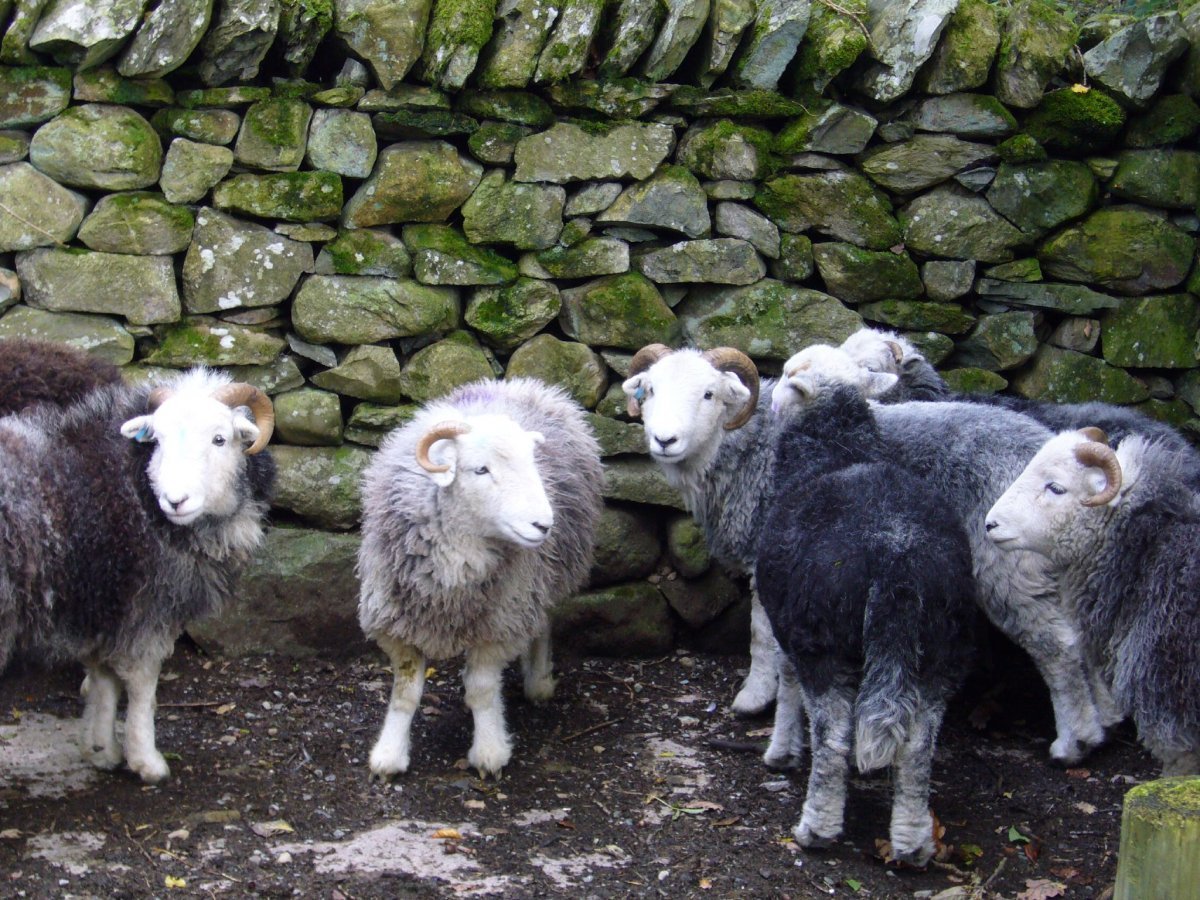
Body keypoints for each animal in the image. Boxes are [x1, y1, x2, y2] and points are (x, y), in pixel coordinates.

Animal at [0, 366, 275, 783]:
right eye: (156, 440)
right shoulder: (148, 609)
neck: (135, 488)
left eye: (220, 438)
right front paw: (147, 760)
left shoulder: (105, 607)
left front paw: (101, 749)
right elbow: (143, 685)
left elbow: (103, 680)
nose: (175, 501)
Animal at [357, 377, 603, 779]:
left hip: (542, 579)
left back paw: (538, 682)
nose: (544, 525)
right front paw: (389, 755)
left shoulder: (499, 623)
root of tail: (518, 383)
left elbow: (482, 690)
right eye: (481, 470)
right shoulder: (397, 622)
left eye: (532, 465)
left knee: (543, 622)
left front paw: (489, 753)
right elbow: (406, 693)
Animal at [757, 367, 975, 865]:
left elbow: (787, 682)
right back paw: (912, 842)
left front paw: (781, 751)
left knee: (834, 739)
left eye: (788, 375)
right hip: (944, 648)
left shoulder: (787, 626)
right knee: (917, 747)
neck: (838, 449)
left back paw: (816, 828)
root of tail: (895, 554)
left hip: (821, 642)